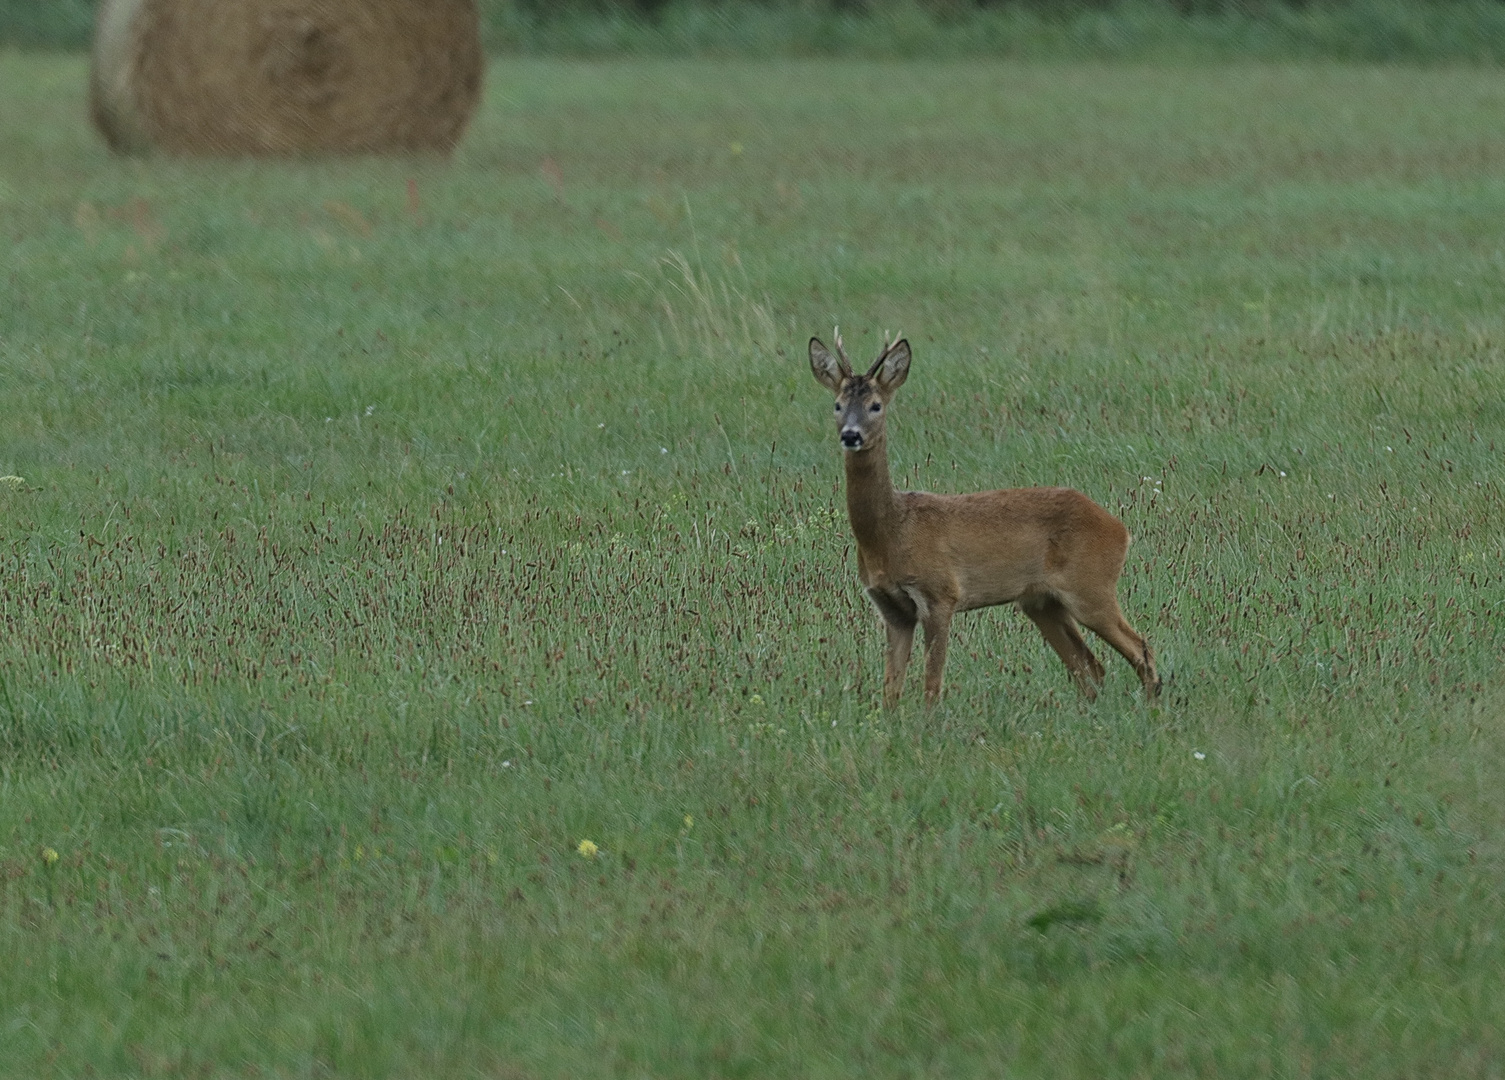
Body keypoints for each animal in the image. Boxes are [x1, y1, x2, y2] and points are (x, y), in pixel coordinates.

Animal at [812, 329, 1161, 709]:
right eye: (837, 405)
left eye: (876, 405)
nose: (851, 434)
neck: (892, 531)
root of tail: (1120, 529)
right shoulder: (892, 608)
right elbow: (891, 690)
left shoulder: (941, 593)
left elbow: (932, 685)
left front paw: (927, 722)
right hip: (1043, 602)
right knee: (1091, 666)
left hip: (1091, 586)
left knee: (1141, 650)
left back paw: (1152, 708)